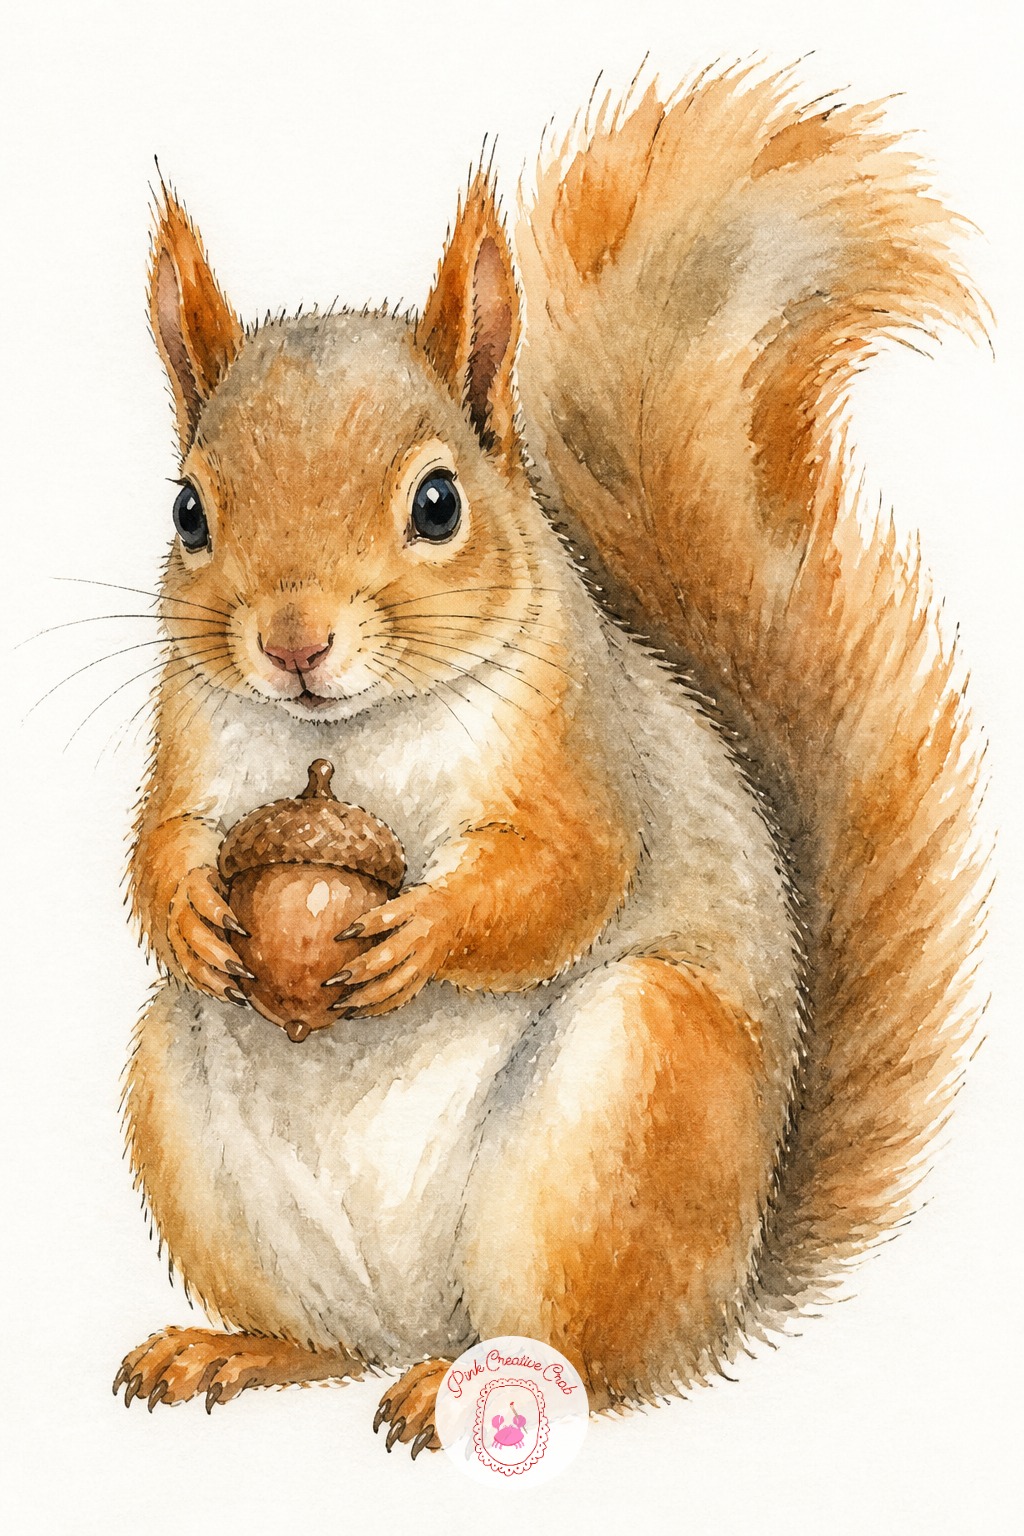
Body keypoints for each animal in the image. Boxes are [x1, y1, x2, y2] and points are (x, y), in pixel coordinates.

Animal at [115, 67, 986, 1454]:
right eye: (188, 512)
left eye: (437, 504)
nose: (291, 640)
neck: (340, 736)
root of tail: (725, 1298)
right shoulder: (190, 727)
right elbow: (158, 840)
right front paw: (195, 913)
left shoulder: (581, 743)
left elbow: (567, 872)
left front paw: (420, 934)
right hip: (179, 1109)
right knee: (332, 1337)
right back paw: (236, 1346)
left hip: (624, 1108)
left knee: (589, 1361)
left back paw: (459, 1391)